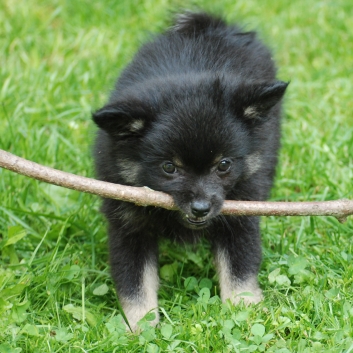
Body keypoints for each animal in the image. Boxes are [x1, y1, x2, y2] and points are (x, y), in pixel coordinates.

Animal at [91, 11, 286, 330]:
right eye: (169, 168)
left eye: (224, 164)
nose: (201, 208)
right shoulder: (128, 225)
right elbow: (135, 284)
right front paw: (141, 327)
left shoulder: (240, 215)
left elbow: (239, 269)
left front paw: (244, 312)